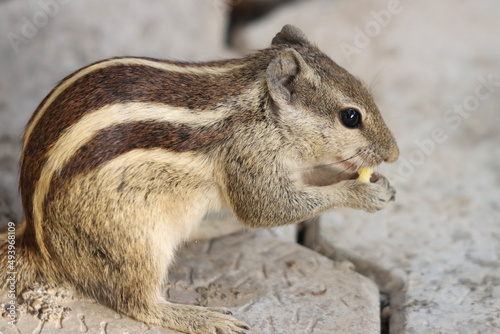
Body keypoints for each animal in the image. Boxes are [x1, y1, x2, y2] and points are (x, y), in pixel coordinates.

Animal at [0, 24, 398, 332]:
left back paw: (223, 226)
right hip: (133, 240)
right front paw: (360, 193)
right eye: (350, 117)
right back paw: (203, 318)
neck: (262, 110)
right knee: (137, 303)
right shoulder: (248, 158)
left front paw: (362, 177)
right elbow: (267, 208)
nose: (393, 153)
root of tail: (36, 243)